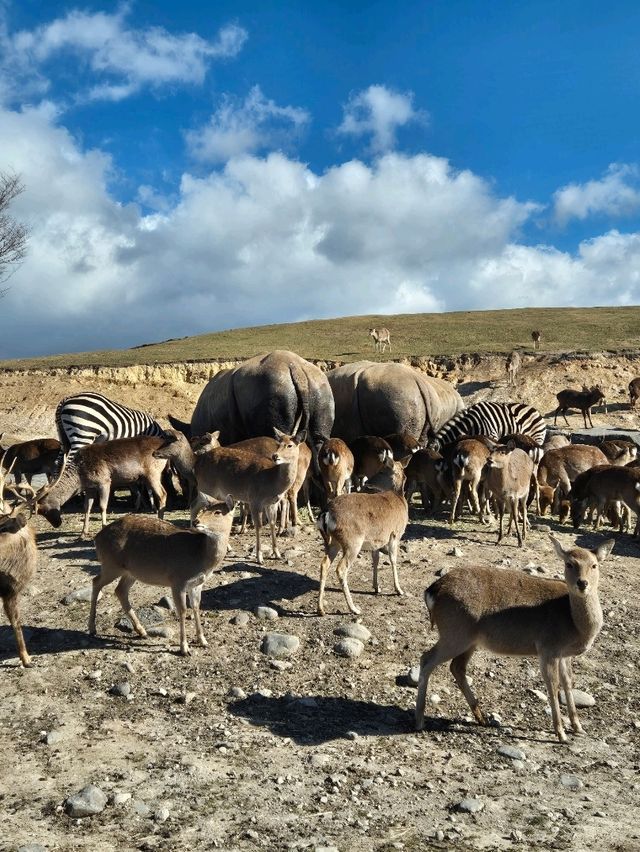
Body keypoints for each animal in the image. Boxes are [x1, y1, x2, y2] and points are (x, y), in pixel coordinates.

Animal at [91, 496, 236, 656]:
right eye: (204, 509)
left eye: (218, 512)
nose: (196, 521)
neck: (201, 556)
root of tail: (97, 538)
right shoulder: (177, 580)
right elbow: (182, 610)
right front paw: (184, 648)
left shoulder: (197, 584)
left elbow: (196, 606)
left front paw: (203, 641)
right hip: (111, 565)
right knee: (96, 581)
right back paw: (92, 628)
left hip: (130, 572)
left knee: (120, 590)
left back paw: (142, 631)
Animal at [316, 462, 410, 616]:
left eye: (382, 470)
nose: (368, 482)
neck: (399, 498)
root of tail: (326, 513)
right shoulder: (395, 534)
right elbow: (393, 560)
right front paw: (399, 590)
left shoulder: (376, 541)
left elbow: (375, 559)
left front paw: (377, 587)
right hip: (352, 543)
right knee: (341, 569)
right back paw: (354, 609)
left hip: (332, 542)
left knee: (324, 564)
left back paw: (321, 609)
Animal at [416, 536, 616, 744]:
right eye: (569, 564)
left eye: (594, 565)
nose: (582, 583)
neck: (574, 624)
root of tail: (431, 591)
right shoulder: (548, 647)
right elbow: (552, 686)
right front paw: (561, 734)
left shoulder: (564, 653)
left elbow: (568, 682)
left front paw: (578, 727)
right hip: (454, 633)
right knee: (427, 659)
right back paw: (419, 721)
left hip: (469, 640)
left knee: (457, 667)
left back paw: (482, 717)